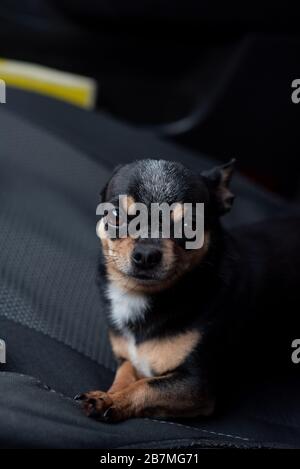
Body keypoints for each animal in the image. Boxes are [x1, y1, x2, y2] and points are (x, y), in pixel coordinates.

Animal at [76, 159, 300, 422]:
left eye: (189, 225)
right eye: (115, 215)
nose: (146, 254)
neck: (143, 297)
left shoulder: (195, 386)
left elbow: (146, 386)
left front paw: (113, 401)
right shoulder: (128, 359)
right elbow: (126, 373)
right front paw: (108, 395)